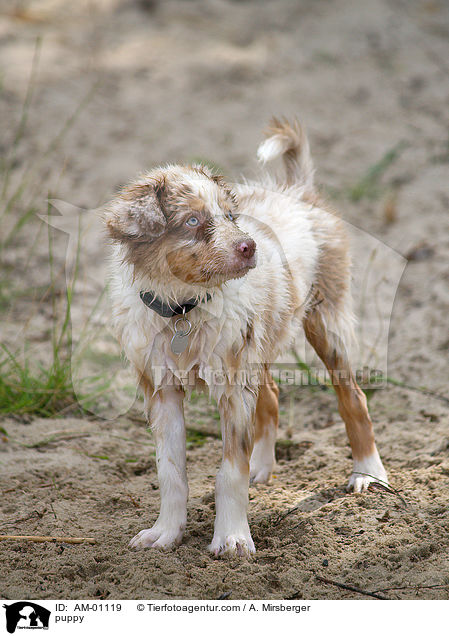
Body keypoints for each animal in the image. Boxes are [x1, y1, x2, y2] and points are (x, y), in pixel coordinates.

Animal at [103, 119, 386, 556]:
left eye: (232, 215)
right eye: (192, 221)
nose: (249, 246)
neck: (184, 308)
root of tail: (297, 190)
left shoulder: (233, 385)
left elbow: (229, 471)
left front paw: (232, 538)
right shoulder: (162, 388)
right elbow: (170, 471)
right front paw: (165, 533)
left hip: (328, 321)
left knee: (353, 397)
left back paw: (369, 474)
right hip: (259, 341)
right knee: (270, 395)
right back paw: (263, 467)